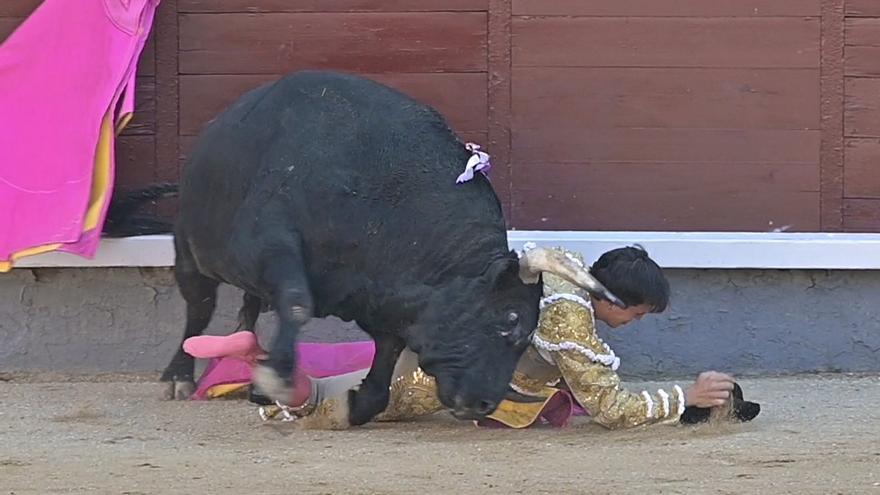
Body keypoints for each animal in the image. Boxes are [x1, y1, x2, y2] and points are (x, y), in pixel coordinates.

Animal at [131, 70, 624, 426]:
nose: (484, 402)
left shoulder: (381, 295)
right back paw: (179, 376)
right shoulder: (272, 244)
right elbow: (296, 302)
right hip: (190, 250)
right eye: (511, 319)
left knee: (248, 309)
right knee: (200, 308)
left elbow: (388, 348)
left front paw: (356, 402)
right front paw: (278, 377)